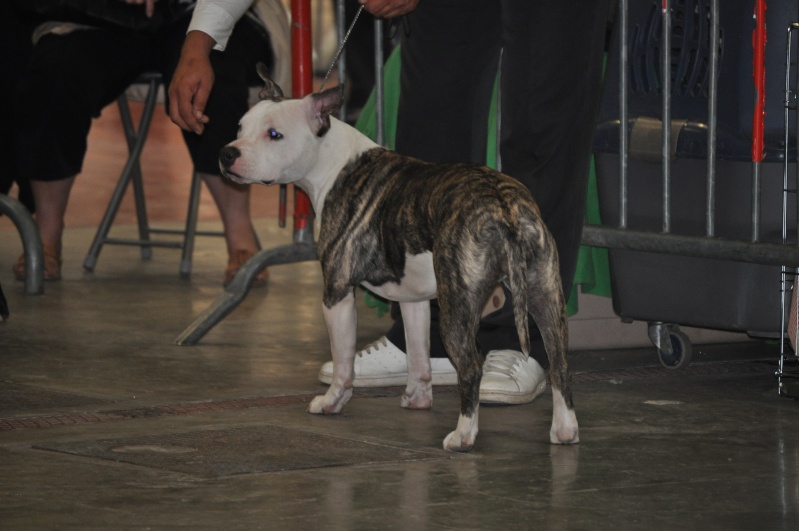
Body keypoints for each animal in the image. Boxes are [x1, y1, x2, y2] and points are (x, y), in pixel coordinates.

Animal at [219, 64, 580, 450]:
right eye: (240, 127)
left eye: (274, 135)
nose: (227, 154)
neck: (332, 161)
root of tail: (502, 205)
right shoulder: (414, 299)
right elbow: (419, 355)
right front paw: (418, 399)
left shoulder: (336, 293)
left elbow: (343, 362)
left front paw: (332, 402)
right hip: (545, 293)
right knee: (559, 362)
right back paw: (564, 430)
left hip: (458, 308)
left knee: (471, 368)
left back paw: (463, 434)